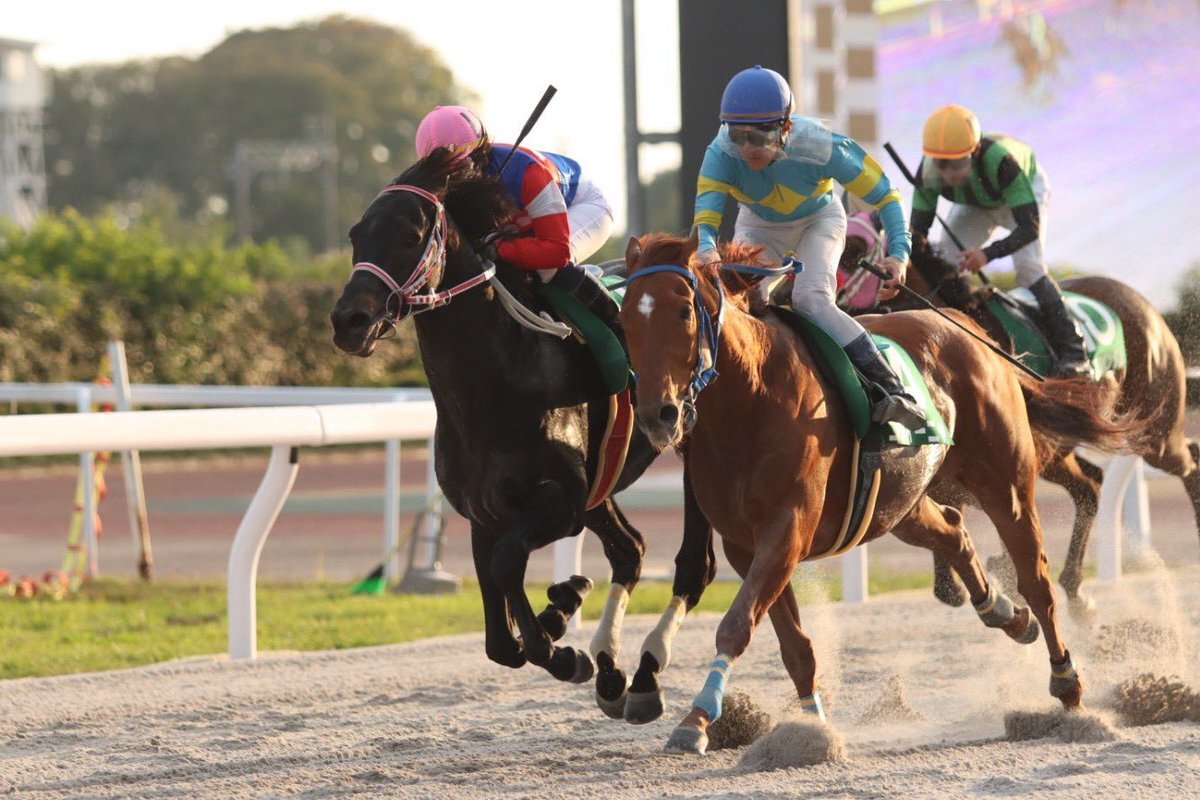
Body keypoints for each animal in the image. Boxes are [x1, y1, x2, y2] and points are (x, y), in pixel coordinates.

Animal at [329, 149, 717, 720]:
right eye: (357, 233)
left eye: (411, 235)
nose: (349, 321)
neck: (496, 380)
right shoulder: (484, 512)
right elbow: (498, 632)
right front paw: (561, 614)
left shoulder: (562, 500)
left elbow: (509, 565)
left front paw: (562, 648)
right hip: (602, 483)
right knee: (629, 548)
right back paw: (606, 666)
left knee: (694, 565)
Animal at [620, 231, 1131, 754]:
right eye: (624, 317)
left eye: (684, 310)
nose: (659, 415)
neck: (752, 399)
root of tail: (970, 329)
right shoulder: (745, 544)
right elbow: (794, 645)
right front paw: (811, 729)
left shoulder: (787, 531)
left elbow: (737, 625)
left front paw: (697, 719)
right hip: (900, 504)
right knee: (953, 529)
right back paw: (1006, 613)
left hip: (1005, 483)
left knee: (1037, 579)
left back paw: (1067, 681)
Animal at [904, 233, 1200, 612]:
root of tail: (1145, 306)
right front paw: (964, 580)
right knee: (1090, 485)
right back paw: (1073, 588)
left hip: (1153, 431)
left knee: (1187, 458)